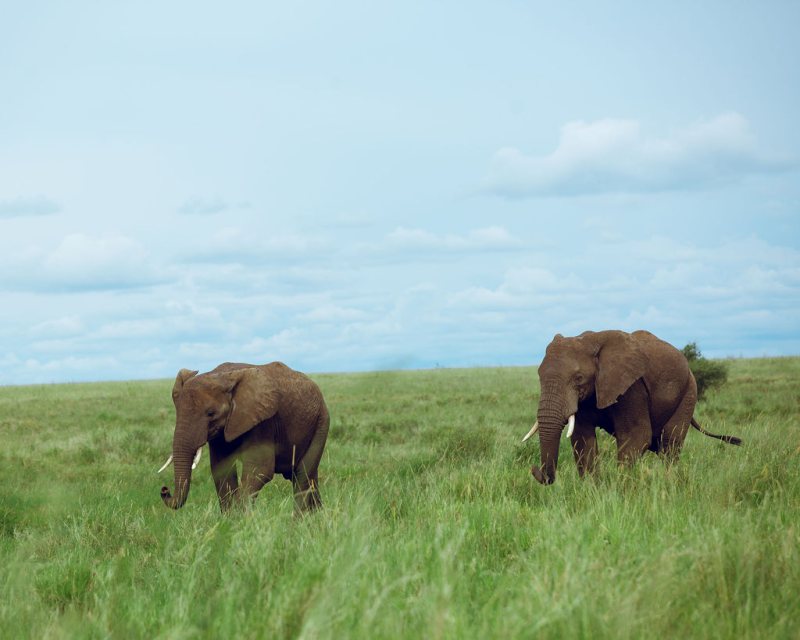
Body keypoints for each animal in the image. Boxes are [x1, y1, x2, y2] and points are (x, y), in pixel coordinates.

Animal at [159, 361, 329, 513]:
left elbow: (259, 469)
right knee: (307, 477)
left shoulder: (263, 420)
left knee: (302, 475)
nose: (165, 490)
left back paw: (299, 521)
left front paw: (243, 518)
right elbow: (221, 469)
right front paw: (231, 520)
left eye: (211, 413)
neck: (222, 376)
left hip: (322, 422)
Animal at [522, 330, 741, 485]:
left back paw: (670, 485)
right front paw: (593, 492)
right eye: (539, 376)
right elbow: (583, 440)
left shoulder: (632, 388)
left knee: (670, 445)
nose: (534, 469)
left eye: (578, 378)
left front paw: (621, 492)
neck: (589, 341)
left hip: (689, 392)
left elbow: (635, 436)